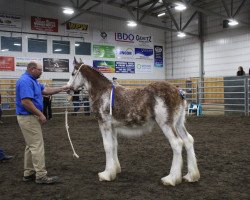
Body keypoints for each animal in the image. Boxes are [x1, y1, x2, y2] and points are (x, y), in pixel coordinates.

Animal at [67, 57, 200, 186]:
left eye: (73, 73)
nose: (68, 89)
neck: (103, 91)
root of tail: (178, 91)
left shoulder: (104, 124)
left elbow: (107, 146)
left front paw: (106, 174)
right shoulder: (112, 126)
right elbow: (114, 145)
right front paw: (115, 169)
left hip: (166, 124)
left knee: (177, 144)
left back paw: (171, 179)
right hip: (178, 124)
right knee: (188, 140)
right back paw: (191, 176)